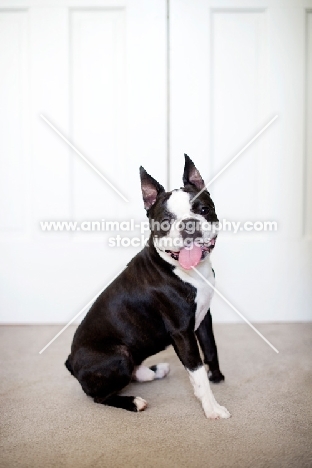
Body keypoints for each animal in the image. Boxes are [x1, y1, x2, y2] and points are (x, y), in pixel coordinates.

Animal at [66, 155, 230, 418]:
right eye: (165, 221)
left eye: (204, 209)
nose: (189, 224)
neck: (186, 270)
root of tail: (70, 362)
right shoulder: (182, 332)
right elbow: (197, 372)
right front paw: (212, 408)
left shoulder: (204, 317)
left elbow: (211, 348)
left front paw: (216, 376)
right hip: (119, 355)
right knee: (99, 396)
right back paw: (134, 401)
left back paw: (152, 371)